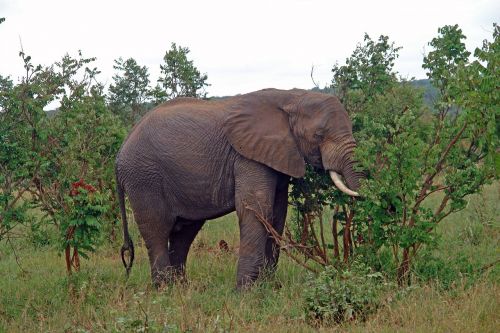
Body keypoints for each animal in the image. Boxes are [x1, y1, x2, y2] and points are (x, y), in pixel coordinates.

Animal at [115, 87, 362, 288]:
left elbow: (276, 214)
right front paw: (245, 292)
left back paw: (181, 288)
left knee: (184, 231)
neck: (292, 97)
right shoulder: (248, 156)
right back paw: (165, 290)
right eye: (319, 135)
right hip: (144, 177)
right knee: (157, 228)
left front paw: (267, 287)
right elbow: (255, 209)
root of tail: (119, 154)